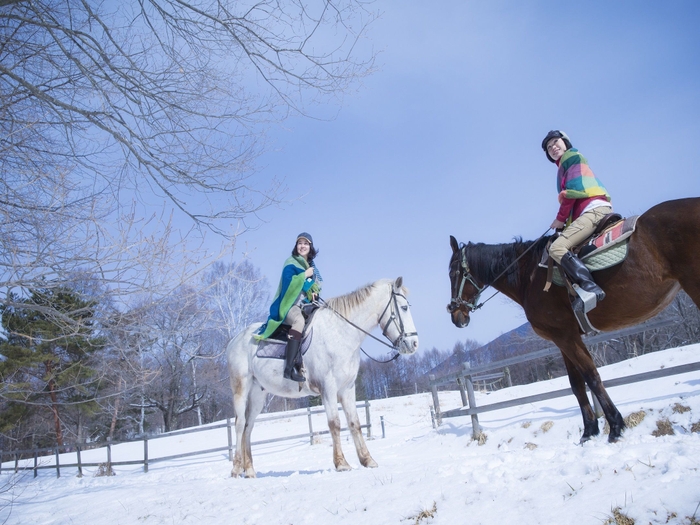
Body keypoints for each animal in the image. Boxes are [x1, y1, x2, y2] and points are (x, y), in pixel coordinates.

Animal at [227, 276, 418, 476]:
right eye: (404, 307)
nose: (414, 343)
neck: (341, 332)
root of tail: (235, 340)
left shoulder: (348, 389)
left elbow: (354, 423)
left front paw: (367, 460)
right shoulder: (328, 388)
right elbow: (335, 423)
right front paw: (341, 463)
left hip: (258, 394)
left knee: (248, 427)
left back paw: (250, 470)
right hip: (241, 388)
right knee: (240, 424)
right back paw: (236, 468)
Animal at [448, 196, 700, 442]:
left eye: (452, 273)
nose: (455, 314)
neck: (529, 275)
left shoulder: (565, 336)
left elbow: (591, 376)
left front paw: (615, 426)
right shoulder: (563, 339)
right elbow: (576, 384)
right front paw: (589, 431)